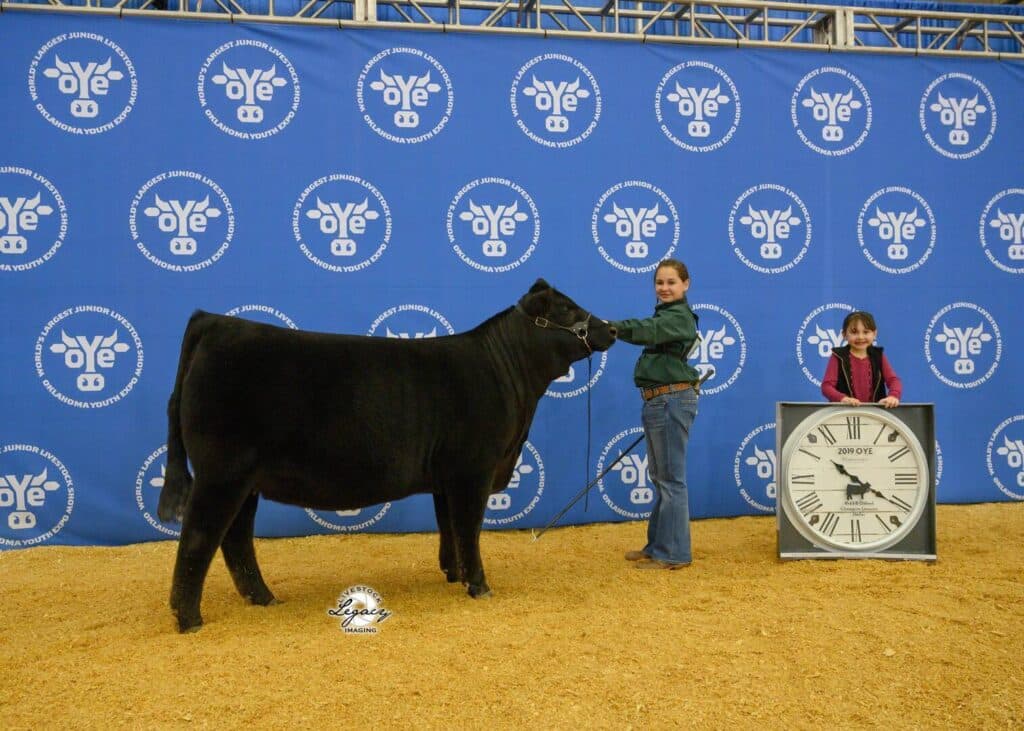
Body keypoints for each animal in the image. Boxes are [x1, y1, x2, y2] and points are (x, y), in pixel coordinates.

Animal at [157, 279, 616, 632]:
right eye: (567, 308)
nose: (611, 328)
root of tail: (215, 321)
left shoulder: (446, 476)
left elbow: (448, 526)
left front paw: (454, 575)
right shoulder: (474, 469)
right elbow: (469, 527)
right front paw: (479, 586)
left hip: (246, 479)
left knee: (235, 538)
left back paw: (264, 599)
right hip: (223, 471)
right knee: (200, 536)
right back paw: (189, 619)